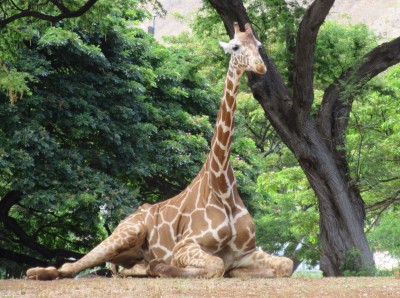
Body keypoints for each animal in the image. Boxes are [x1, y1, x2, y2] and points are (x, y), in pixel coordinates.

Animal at [25, 22, 294, 280]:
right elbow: (215, 265)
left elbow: (285, 265)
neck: (222, 187)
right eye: (235, 47)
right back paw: (37, 272)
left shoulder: (246, 252)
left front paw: (240, 272)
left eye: (259, 46)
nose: (260, 66)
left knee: (117, 268)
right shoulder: (184, 246)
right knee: (71, 266)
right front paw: (163, 267)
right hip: (129, 231)